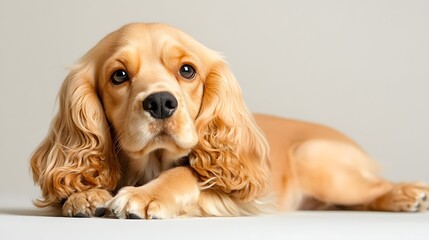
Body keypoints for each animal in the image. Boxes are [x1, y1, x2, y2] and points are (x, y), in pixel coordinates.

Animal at [28, 23, 426, 218]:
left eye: (187, 70)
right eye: (119, 76)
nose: (160, 103)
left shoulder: (241, 195)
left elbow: (185, 173)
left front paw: (143, 196)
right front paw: (85, 194)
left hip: (320, 163)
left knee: (374, 188)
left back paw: (407, 194)